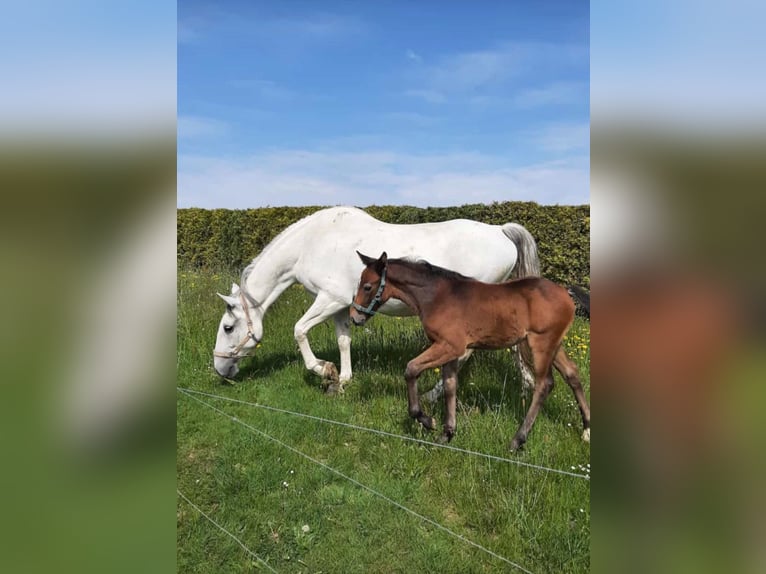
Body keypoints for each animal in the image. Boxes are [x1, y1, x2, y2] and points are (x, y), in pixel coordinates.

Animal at [213, 208, 544, 400]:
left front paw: (324, 370)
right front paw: (343, 379)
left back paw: (431, 395)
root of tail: (500, 231)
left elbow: (299, 330)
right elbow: (343, 341)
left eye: (228, 327)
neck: (312, 243)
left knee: (463, 354)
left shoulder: (329, 299)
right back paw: (527, 384)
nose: (220, 369)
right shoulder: (341, 307)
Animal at [352, 252, 592, 454]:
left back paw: (517, 440)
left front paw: (427, 420)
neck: (437, 296)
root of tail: (565, 291)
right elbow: (450, 385)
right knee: (572, 373)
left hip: (541, 343)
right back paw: (587, 430)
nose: (355, 317)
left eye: (367, 286)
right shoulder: (447, 349)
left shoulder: (451, 345)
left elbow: (411, 369)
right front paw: (447, 433)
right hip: (555, 345)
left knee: (544, 384)